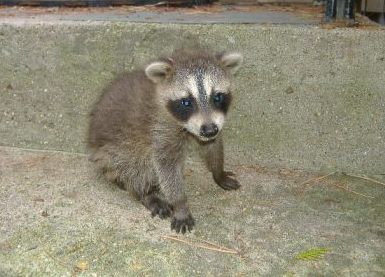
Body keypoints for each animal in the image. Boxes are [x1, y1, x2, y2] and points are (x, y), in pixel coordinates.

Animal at [88, 48, 242, 233]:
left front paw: (218, 172)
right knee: (135, 166)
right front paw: (180, 205)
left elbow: (211, 145)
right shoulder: (159, 128)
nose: (210, 130)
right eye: (186, 102)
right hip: (115, 149)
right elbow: (166, 166)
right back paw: (146, 194)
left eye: (217, 97)